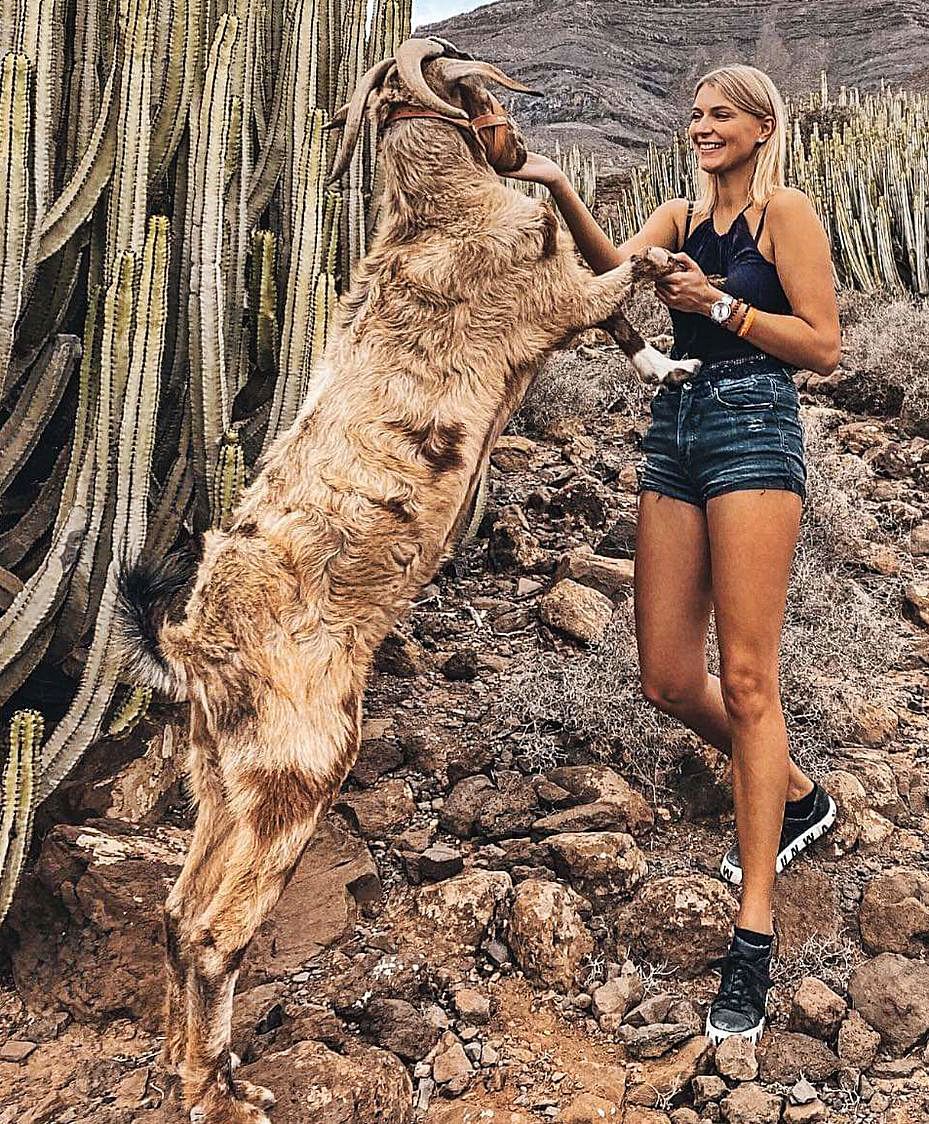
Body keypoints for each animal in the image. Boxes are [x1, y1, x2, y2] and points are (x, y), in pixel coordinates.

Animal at [116, 37, 696, 1124]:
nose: (517, 142)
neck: (440, 201)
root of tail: (191, 646)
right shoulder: (555, 299)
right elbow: (629, 269)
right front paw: (670, 343)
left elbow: (623, 300)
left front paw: (661, 363)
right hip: (297, 771)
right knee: (214, 930)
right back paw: (223, 1092)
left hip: (224, 778)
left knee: (176, 911)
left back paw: (185, 1070)